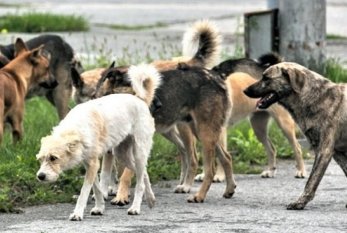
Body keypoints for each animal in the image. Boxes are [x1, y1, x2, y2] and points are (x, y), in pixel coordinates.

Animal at [36, 63, 161, 220]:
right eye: (40, 159)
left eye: (53, 158)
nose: (40, 176)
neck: (76, 129)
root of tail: (140, 100)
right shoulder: (90, 164)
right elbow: (97, 189)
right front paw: (99, 208)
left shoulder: (93, 164)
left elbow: (84, 191)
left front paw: (77, 213)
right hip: (122, 155)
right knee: (143, 173)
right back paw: (150, 199)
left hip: (138, 152)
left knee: (140, 182)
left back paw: (135, 208)